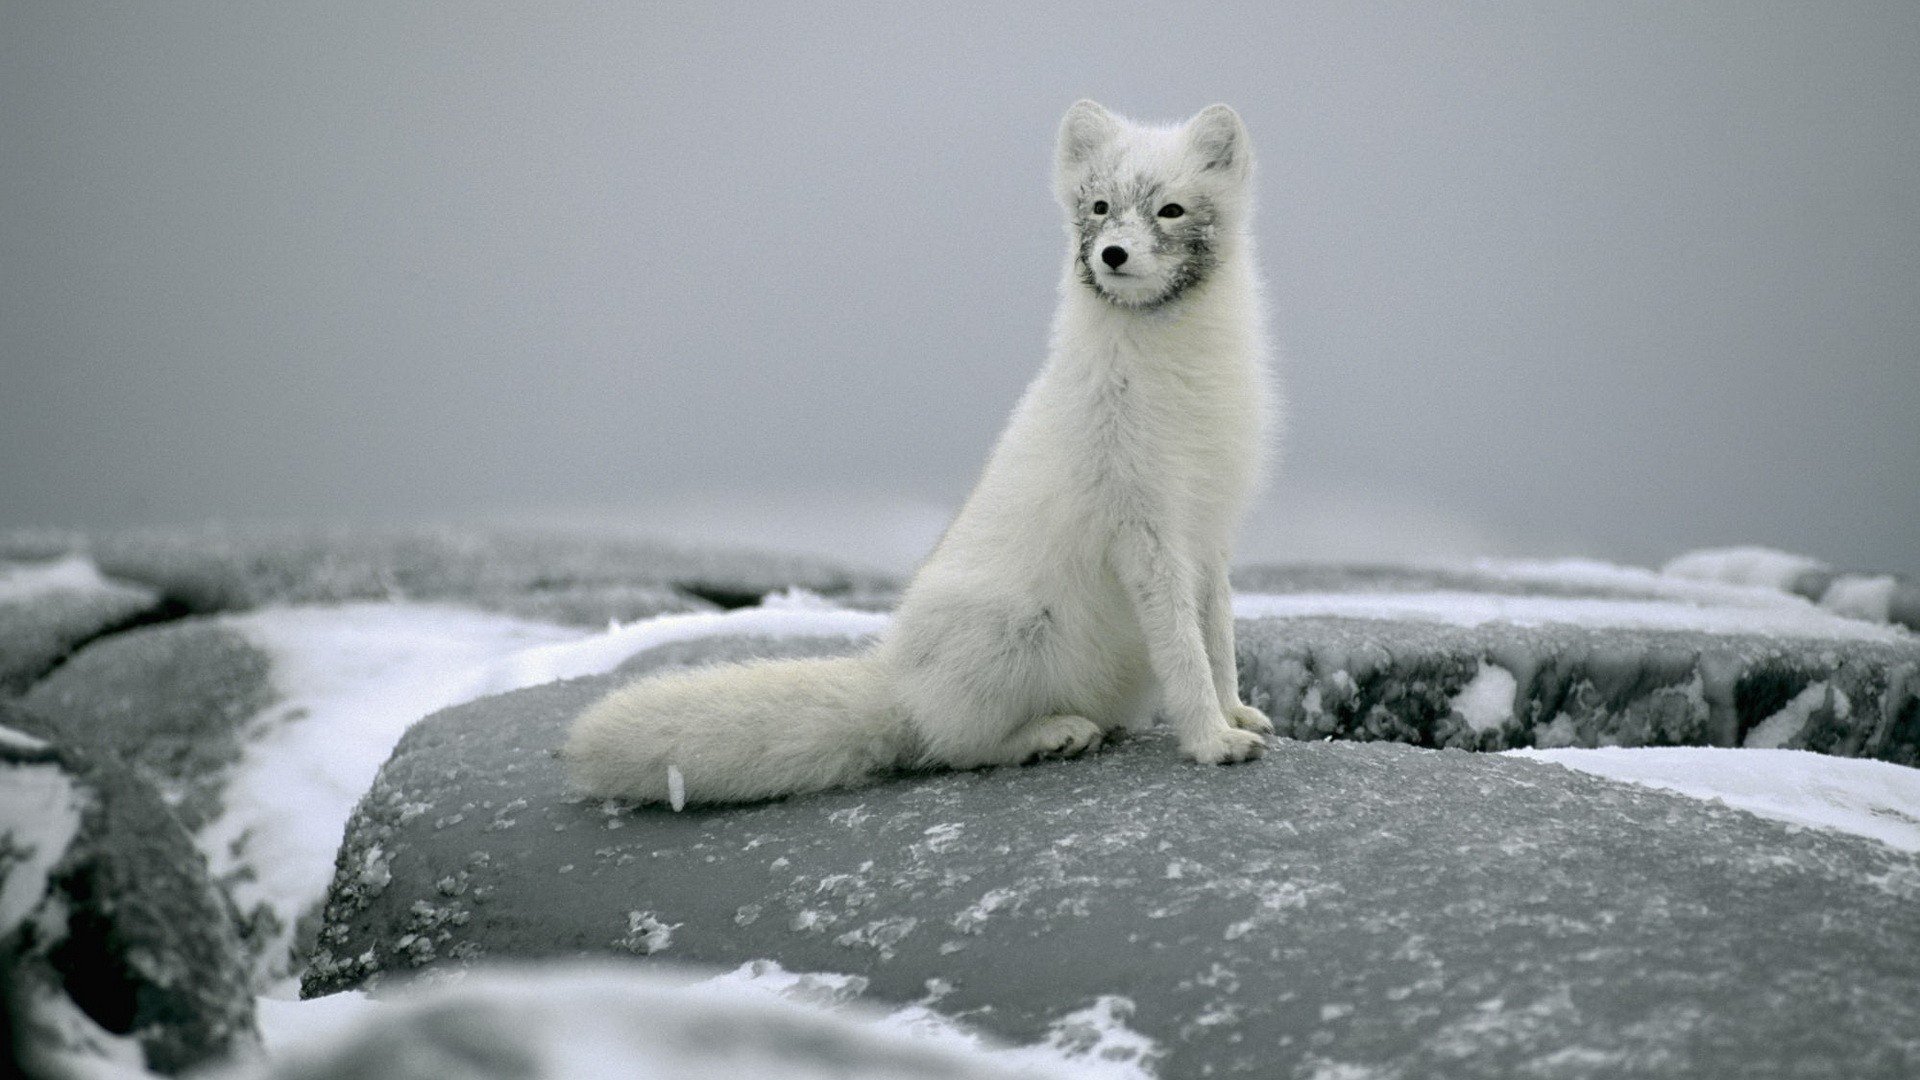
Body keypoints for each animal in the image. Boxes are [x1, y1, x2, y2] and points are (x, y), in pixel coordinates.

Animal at [565, 100, 1278, 805]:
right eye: (1100, 206)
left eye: (1171, 210)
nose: (1113, 253)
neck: (1178, 377)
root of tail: (897, 682)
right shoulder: (1144, 530)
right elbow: (1184, 651)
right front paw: (1212, 740)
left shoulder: (1209, 529)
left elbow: (1218, 637)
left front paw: (1235, 712)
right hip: (1012, 630)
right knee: (953, 746)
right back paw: (1052, 734)